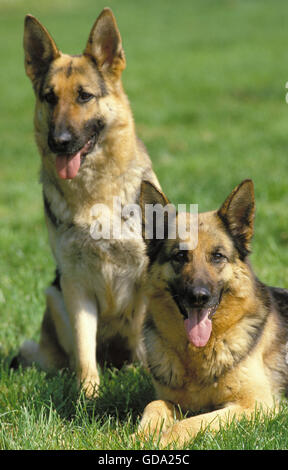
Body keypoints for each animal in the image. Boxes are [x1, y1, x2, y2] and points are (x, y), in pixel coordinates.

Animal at [11, 7, 160, 396]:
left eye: (84, 96)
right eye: (49, 97)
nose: (59, 142)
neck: (96, 194)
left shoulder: (144, 277)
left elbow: (144, 337)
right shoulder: (75, 283)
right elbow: (83, 347)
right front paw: (87, 393)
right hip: (55, 293)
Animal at [136, 179, 288, 448]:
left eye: (217, 256)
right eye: (180, 256)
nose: (199, 296)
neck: (197, 355)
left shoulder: (255, 405)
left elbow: (193, 422)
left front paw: (167, 439)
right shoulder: (172, 401)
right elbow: (154, 404)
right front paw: (141, 435)